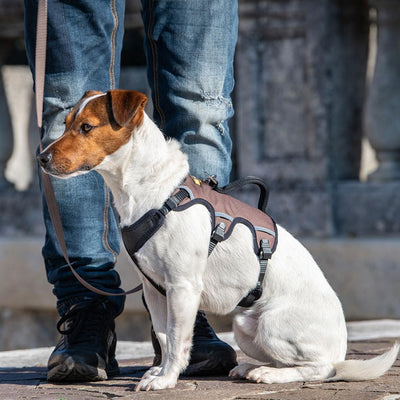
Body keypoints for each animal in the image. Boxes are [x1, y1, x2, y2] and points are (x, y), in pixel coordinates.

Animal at [36, 88, 396, 390]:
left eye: (86, 127)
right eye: (65, 124)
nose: (41, 158)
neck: (150, 192)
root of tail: (341, 347)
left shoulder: (182, 286)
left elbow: (178, 339)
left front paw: (166, 379)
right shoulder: (155, 290)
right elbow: (164, 336)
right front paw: (160, 371)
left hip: (271, 324)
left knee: (320, 368)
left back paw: (269, 374)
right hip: (245, 326)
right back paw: (251, 367)